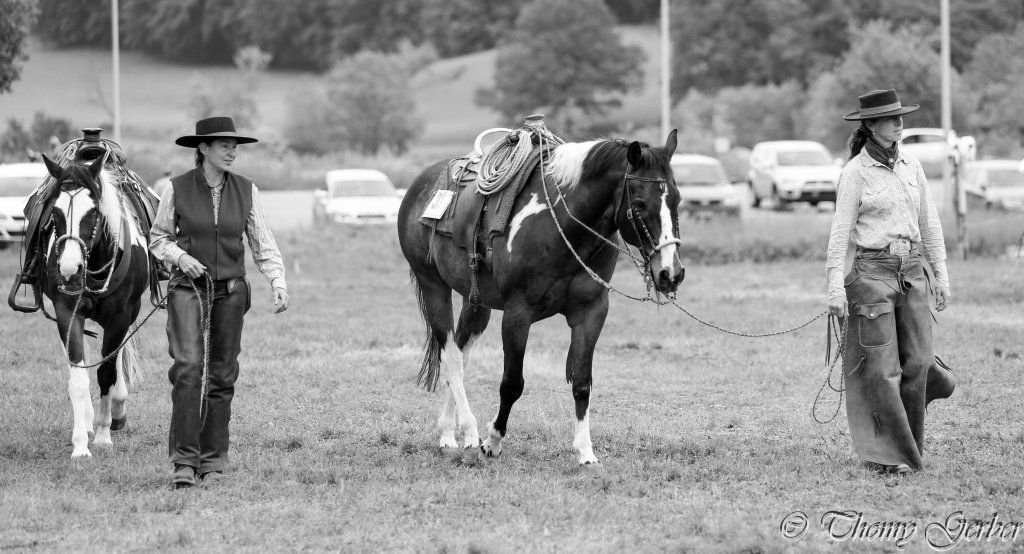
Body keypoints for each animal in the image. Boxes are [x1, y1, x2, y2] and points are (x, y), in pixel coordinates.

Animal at [37, 153, 151, 458]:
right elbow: (78, 378)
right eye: (55, 213)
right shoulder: (67, 313)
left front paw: (103, 434)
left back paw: (116, 413)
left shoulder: (121, 317)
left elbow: (107, 373)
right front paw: (81, 445)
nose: (68, 269)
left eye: (93, 213)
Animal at [397, 129, 683, 466]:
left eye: (677, 199)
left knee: (460, 351)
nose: (671, 273)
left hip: (475, 301)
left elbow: (582, 383)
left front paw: (586, 453)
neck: (561, 225)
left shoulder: (592, 312)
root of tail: (421, 185)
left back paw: (448, 434)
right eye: (639, 203)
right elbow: (511, 384)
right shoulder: (517, 314)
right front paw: (492, 443)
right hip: (433, 286)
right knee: (451, 357)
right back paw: (468, 431)